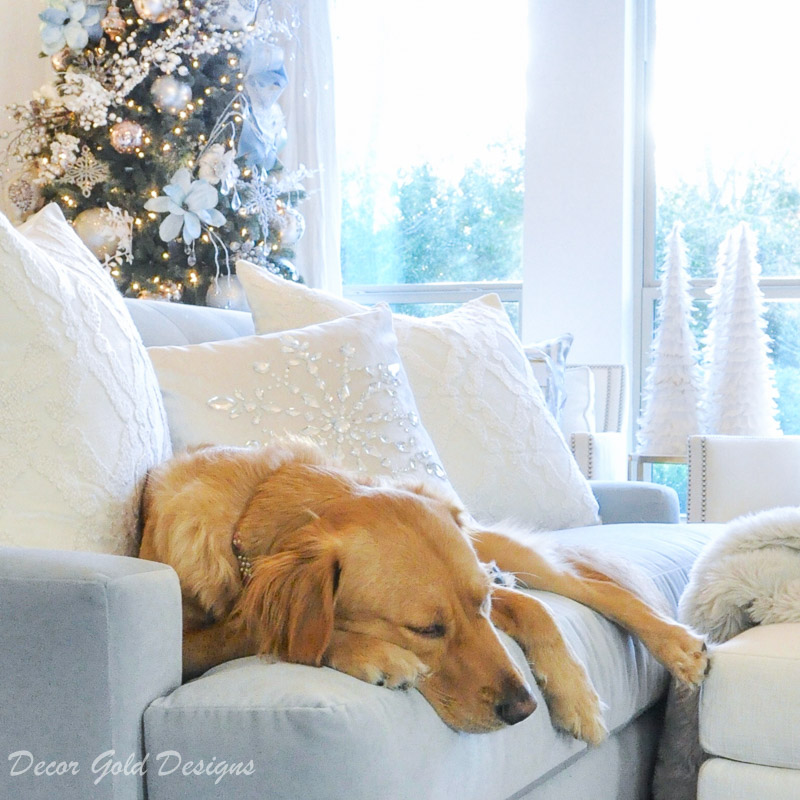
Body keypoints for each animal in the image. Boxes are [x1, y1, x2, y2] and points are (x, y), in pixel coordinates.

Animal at [141, 438, 708, 744]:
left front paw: (576, 696)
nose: (523, 709)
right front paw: (375, 653)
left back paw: (678, 644)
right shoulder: (186, 645)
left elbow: (538, 612)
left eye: (480, 605)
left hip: (499, 546)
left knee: (593, 586)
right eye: (426, 629)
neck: (259, 506)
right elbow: (264, 629)